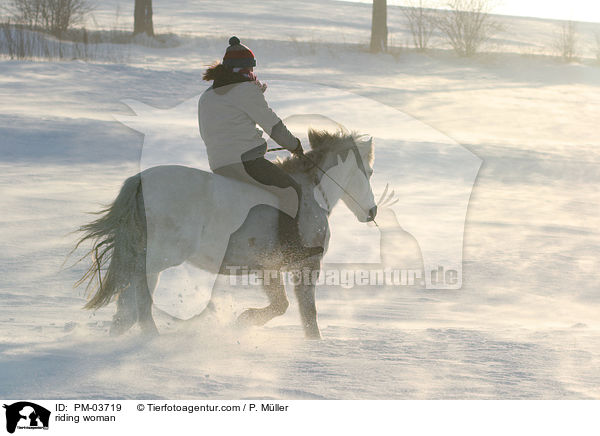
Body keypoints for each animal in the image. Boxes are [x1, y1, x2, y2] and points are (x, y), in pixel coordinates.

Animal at [75, 127, 376, 338]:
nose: (372, 212)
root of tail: (140, 180)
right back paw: (150, 334)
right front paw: (245, 320)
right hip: (162, 255)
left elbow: (286, 307)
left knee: (131, 293)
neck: (312, 193)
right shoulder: (305, 265)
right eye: (370, 172)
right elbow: (301, 313)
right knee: (139, 290)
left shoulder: (269, 269)